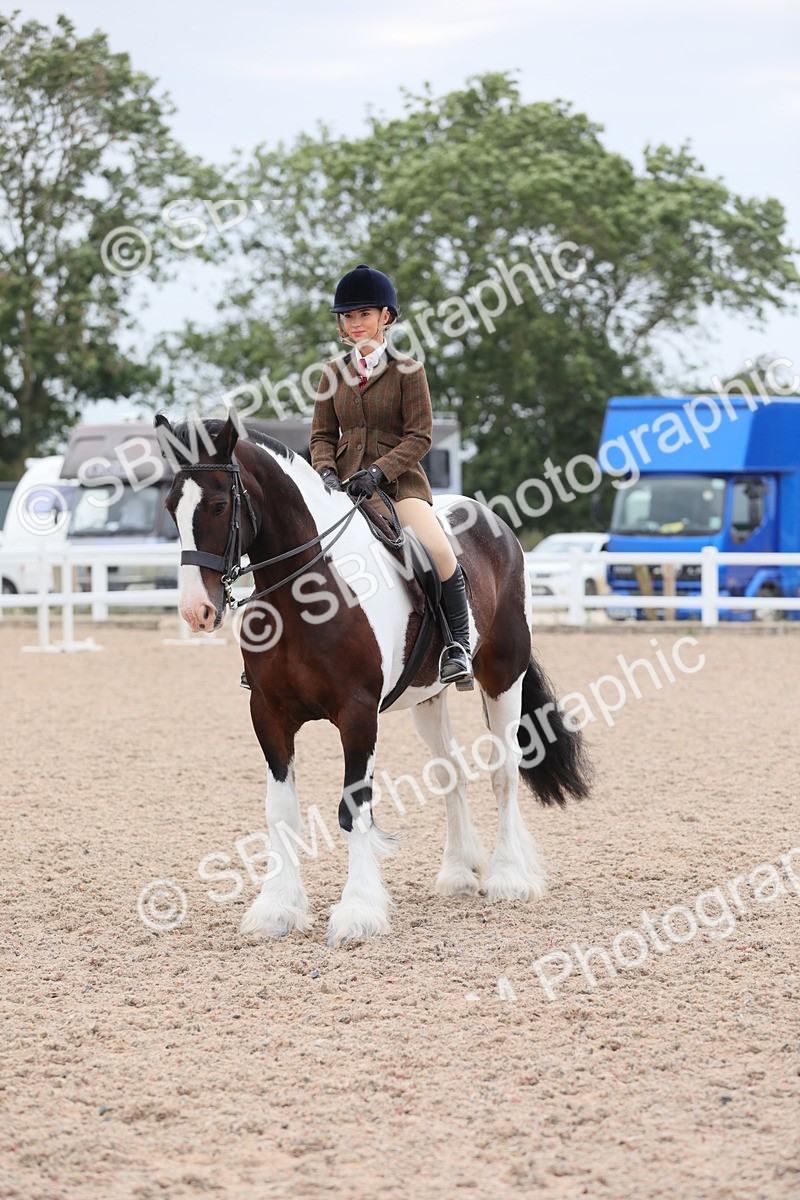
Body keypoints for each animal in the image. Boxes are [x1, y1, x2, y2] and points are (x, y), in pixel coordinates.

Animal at [156, 413, 592, 946]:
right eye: (172, 506)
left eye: (219, 505)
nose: (195, 611)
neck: (306, 593)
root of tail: (492, 521)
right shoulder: (268, 714)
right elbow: (281, 811)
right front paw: (277, 908)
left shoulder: (357, 713)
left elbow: (353, 809)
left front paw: (358, 911)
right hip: (427, 698)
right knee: (450, 772)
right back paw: (458, 873)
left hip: (503, 676)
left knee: (504, 771)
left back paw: (509, 878)